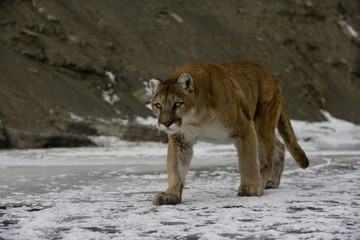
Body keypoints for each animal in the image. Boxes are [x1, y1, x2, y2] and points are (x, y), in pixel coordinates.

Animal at [149, 61, 310, 204]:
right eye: (158, 105)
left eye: (177, 104)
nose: (166, 123)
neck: (196, 118)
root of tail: (272, 75)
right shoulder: (180, 140)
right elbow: (175, 167)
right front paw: (170, 194)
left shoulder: (244, 127)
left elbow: (247, 161)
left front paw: (251, 187)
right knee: (279, 145)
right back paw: (272, 181)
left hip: (261, 123)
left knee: (267, 156)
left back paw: (262, 181)